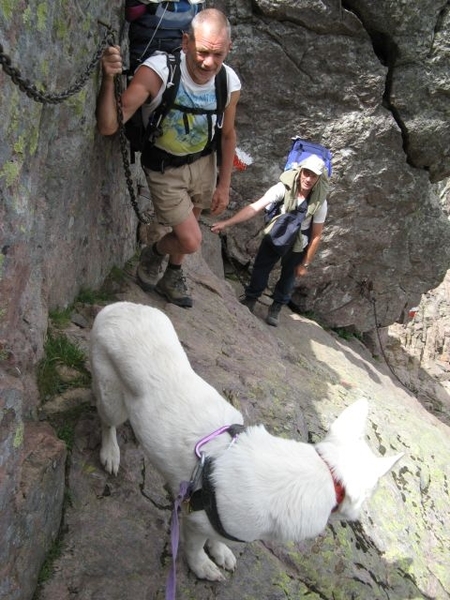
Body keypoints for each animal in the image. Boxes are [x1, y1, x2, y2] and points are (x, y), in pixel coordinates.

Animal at [89, 302, 402, 584]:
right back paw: (111, 453)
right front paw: (202, 567)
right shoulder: (196, 520)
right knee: (107, 422)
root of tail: (116, 306)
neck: (324, 471)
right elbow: (194, 548)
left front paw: (220, 553)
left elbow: (220, 540)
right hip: (111, 397)